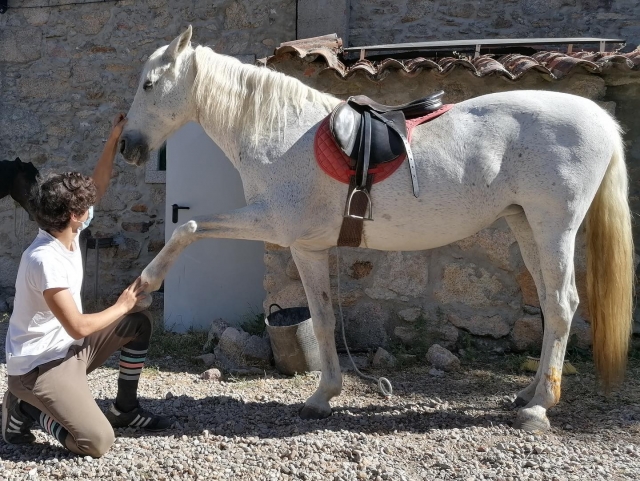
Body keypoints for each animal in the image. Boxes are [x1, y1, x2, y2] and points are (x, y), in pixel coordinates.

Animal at [119, 26, 633, 432]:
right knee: (548, 303)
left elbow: (189, 226)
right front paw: (324, 396)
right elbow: (323, 319)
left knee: (563, 305)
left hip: (554, 227)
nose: (127, 147)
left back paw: (539, 407)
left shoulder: (276, 225)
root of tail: (600, 120)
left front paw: (144, 285)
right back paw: (529, 393)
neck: (281, 132)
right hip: (525, 224)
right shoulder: (308, 247)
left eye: (149, 84)